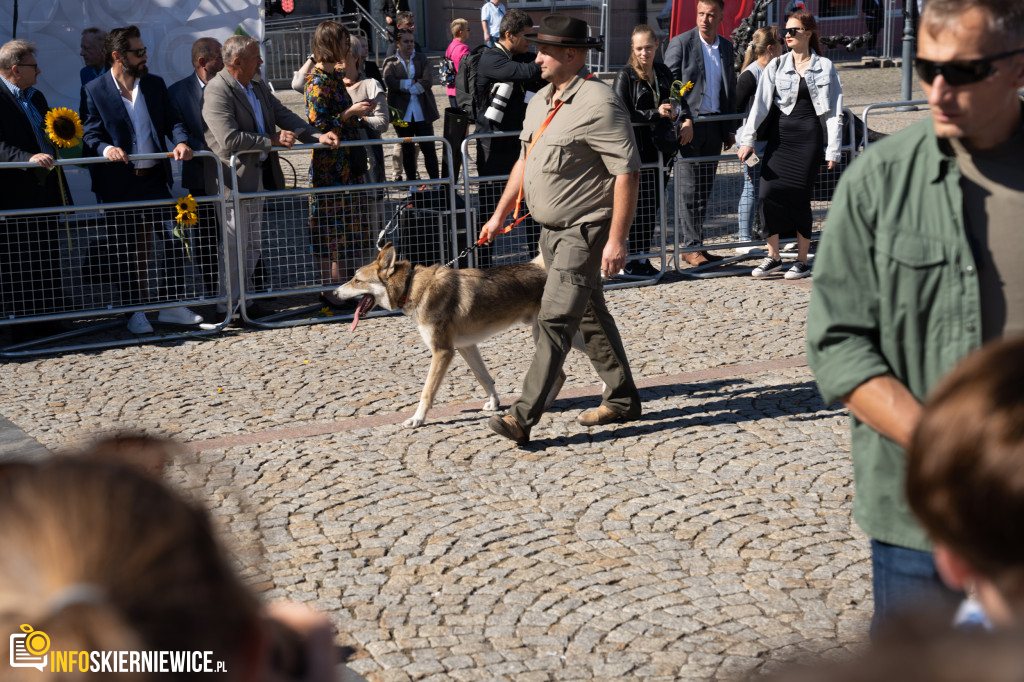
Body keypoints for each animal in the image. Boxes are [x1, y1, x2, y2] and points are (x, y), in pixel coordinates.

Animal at [335, 242, 577, 425]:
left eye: (357, 280)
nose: (334, 293)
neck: (412, 286)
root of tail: (542, 267)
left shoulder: (442, 351)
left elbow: (427, 392)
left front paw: (417, 420)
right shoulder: (465, 346)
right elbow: (484, 378)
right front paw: (493, 404)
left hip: (548, 336)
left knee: (562, 372)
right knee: (561, 373)